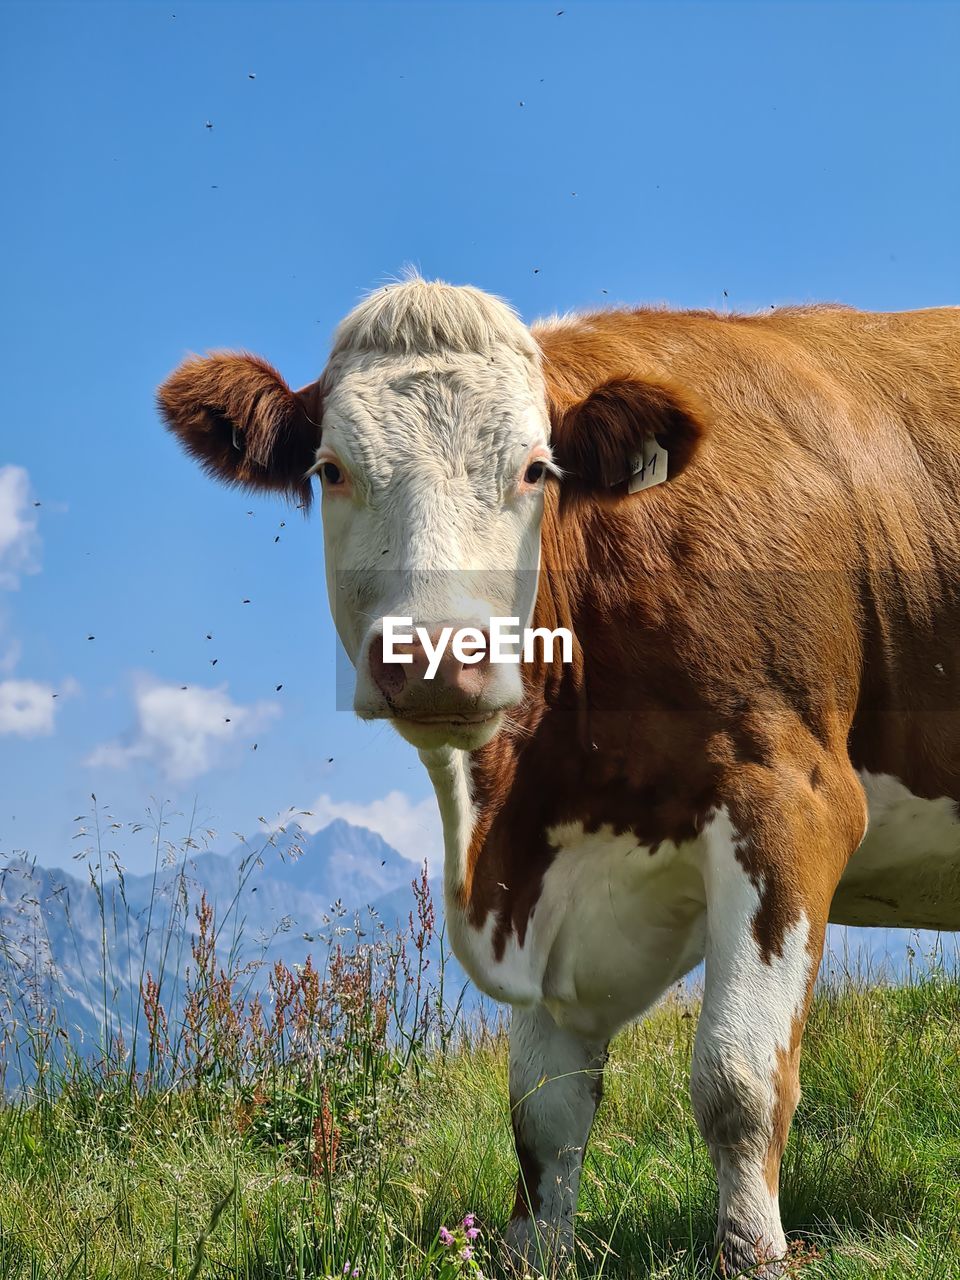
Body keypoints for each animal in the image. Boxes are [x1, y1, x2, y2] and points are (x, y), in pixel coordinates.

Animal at [160, 285, 960, 1274]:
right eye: (332, 469)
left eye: (537, 470)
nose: (436, 655)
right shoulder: (554, 867)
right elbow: (543, 1111)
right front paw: (536, 1254)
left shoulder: (792, 798)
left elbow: (737, 1078)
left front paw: (752, 1253)